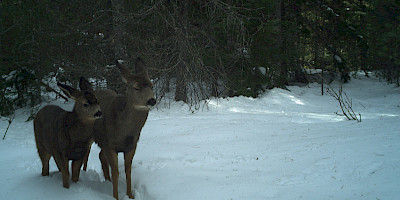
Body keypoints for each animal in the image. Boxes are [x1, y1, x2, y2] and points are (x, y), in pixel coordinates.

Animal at [92, 57, 156, 199]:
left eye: (151, 85)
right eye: (136, 87)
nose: (152, 101)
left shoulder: (131, 146)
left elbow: (128, 170)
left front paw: (130, 195)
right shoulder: (109, 144)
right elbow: (116, 172)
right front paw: (115, 196)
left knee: (101, 156)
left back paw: (107, 180)